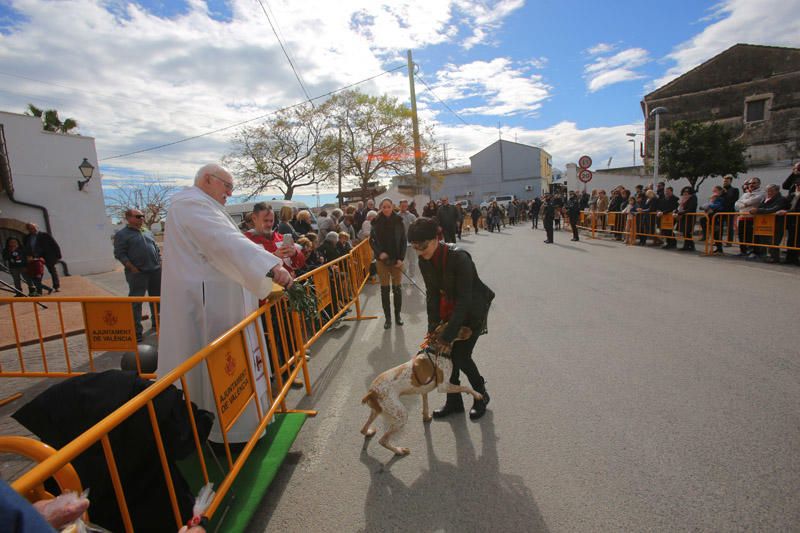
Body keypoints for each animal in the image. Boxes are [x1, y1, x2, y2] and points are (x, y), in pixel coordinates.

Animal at [360, 322, 484, 456]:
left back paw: (368, 432)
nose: (472, 329)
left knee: (363, 429)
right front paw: (477, 395)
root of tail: (371, 392)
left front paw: (426, 417)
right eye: (456, 327)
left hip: (376, 411)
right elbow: (465, 386)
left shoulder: (424, 390)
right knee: (383, 440)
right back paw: (399, 450)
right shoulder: (443, 386)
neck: (436, 350)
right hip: (401, 415)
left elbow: (425, 405)